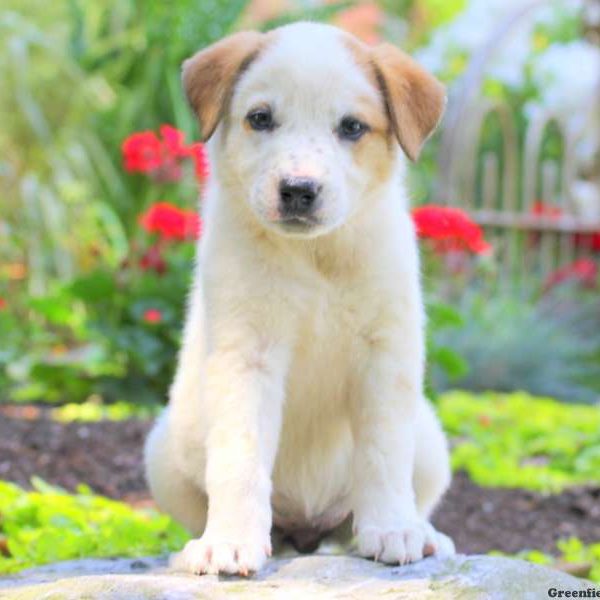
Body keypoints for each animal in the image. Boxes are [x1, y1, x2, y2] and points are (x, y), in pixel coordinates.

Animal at [144, 22, 454, 576]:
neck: (316, 258)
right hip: (164, 454)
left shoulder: (386, 353)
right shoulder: (246, 354)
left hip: (431, 441)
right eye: (260, 118)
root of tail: (308, 533)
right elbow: (239, 457)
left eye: (352, 127)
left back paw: (423, 533)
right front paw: (229, 540)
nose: (298, 190)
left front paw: (393, 528)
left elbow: (383, 452)